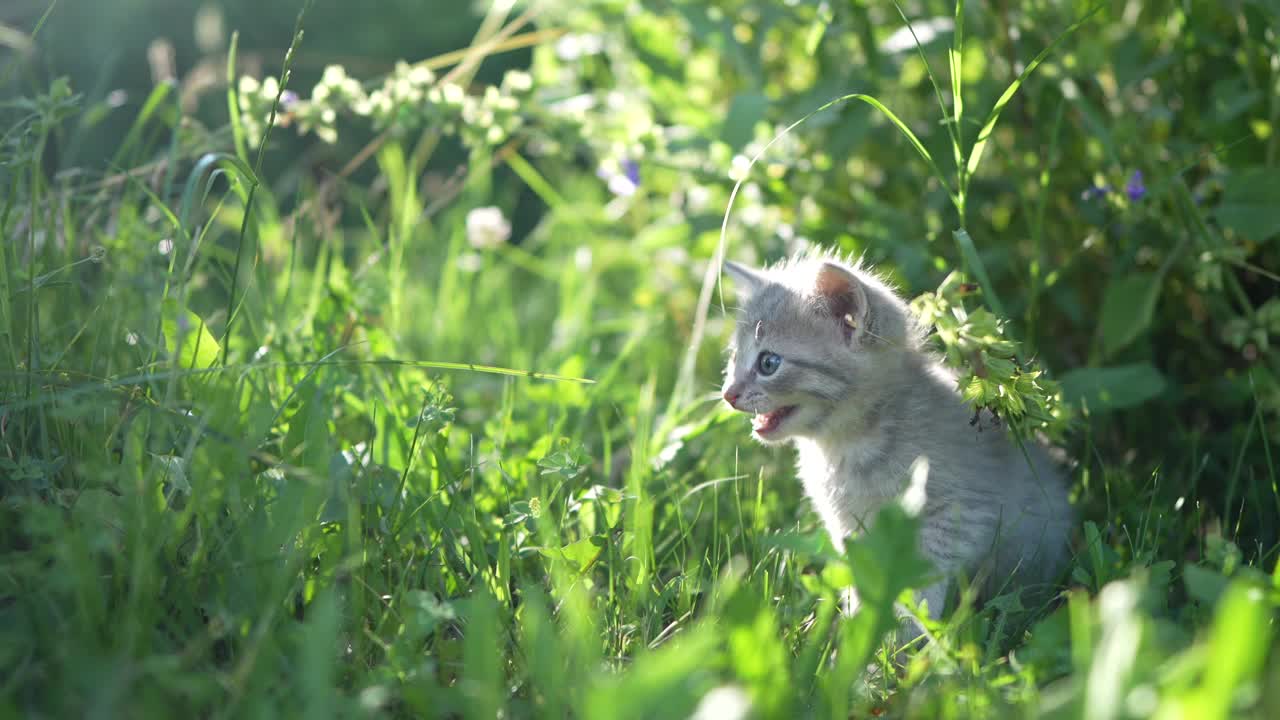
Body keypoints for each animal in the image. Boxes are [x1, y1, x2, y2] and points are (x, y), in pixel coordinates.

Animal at [721, 251, 1070, 638]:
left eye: (768, 363)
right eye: (733, 358)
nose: (728, 394)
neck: (848, 446)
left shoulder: (955, 515)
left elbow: (919, 587)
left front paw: (905, 641)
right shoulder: (851, 529)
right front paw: (860, 633)